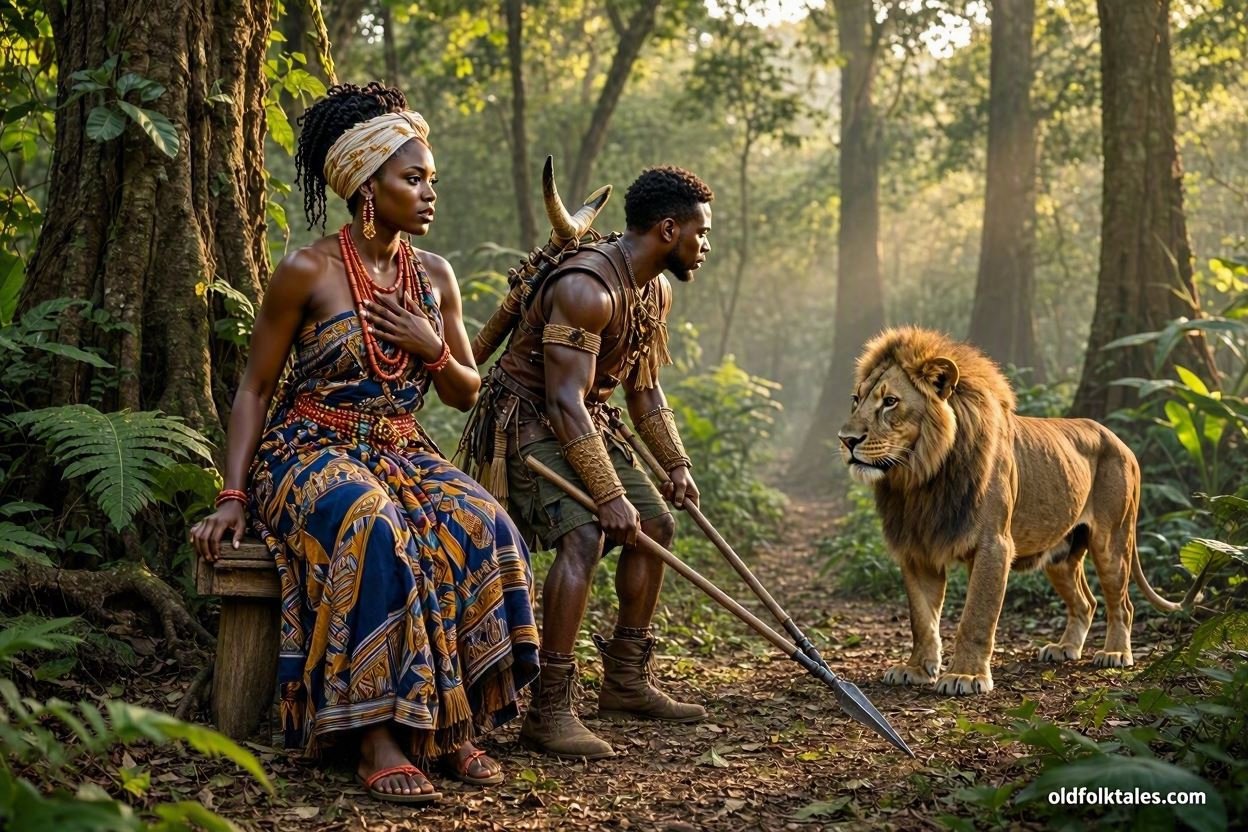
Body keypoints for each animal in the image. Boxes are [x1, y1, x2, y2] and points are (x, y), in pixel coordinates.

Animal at [837, 327, 1181, 696]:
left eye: (890, 401)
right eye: (856, 399)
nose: (846, 439)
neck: (920, 480)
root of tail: (1121, 442)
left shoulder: (994, 545)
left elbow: (976, 616)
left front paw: (966, 676)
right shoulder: (918, 548)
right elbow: (922, 617)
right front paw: (916, 669)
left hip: (1112, 541)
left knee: (1122, 603)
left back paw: (1115, 653)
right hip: (1060, 554)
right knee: (1086, 602)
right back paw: (1065, 648)